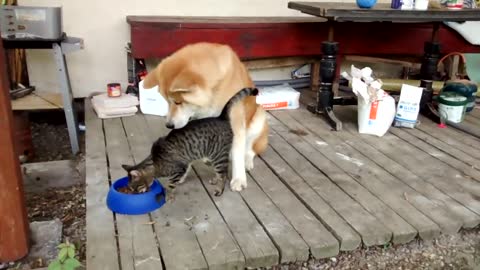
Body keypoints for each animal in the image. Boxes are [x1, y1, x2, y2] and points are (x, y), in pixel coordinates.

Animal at [122, 87, 260, 202]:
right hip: (213, 157)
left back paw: (219, 190)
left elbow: (171, 184)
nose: (133, 193)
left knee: (224, 174)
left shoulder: (179, 168)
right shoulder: (185, 162)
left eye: (135, 187)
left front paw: (169, 195)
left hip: (218, 156)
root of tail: (221, 117)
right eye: (131, 188)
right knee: (221, 172)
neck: (155, 162)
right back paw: (215, 179)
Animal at [142, 41, 270, 192]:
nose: (169, 125)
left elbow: (238, 153)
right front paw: (182, 173)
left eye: (178, 102)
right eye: (166, 101)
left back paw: (247, 161)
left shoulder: (236, 121)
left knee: (251, 148)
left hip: (259, 118)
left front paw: (238, 179)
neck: (214, 89)